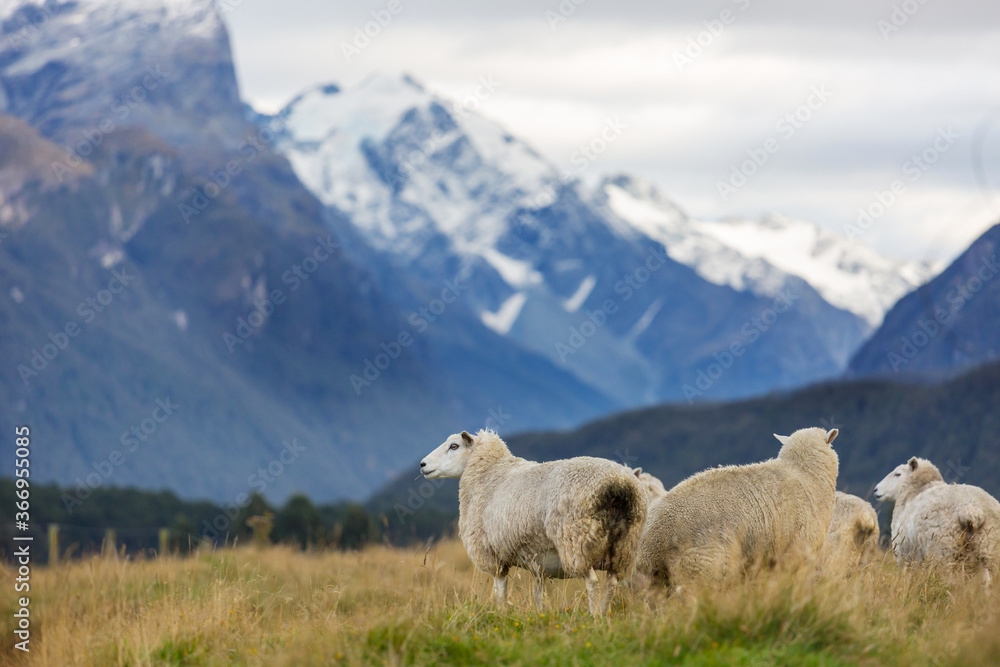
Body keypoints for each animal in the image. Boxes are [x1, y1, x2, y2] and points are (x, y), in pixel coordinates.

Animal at [419, 429, 647, 615]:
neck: (489, 473)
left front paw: (501, 615)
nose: (422, 464)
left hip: (575, 540)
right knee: (612, 583)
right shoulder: (538, 560)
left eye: (454, 446)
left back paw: (594, 618)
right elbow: (539, 593)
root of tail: (619, 485)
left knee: (592, 583)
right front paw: (541, 616)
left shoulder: (494, 555)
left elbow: (500, 590)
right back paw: (603, 615)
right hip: (624, 545)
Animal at [874, 457, 1000, 586]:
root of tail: (971, 509)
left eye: (897, 474)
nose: (876, 489)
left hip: (942, 552)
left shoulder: (905, 557)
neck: (915, 491)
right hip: (990, 549)